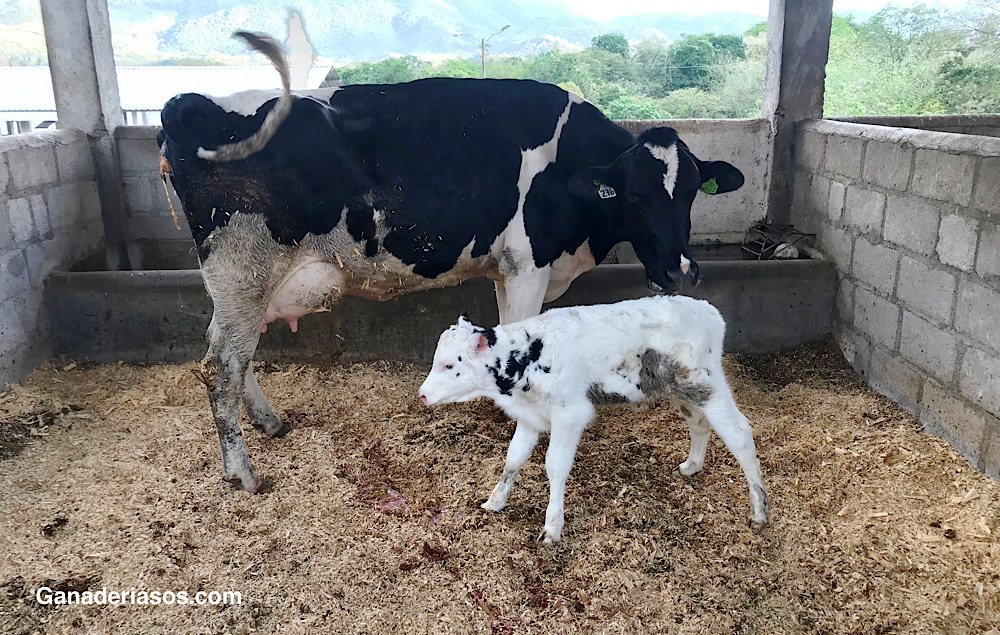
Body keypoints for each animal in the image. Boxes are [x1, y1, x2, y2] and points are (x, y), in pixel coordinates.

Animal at [158, 33, 744, 492]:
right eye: (634, 196)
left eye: (692, 192)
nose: (680, 272)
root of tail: (185, 103)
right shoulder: (529, 263)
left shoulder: (509, 269)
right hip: (242, 268)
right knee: (222, 366)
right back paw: (242, 471)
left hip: (244, 283)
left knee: (231, 354)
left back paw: (268, 421)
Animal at [418, 296, 768, 544]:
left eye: (449, 365)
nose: (422, 395)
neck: (527, 357)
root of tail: (708, 310)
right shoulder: (531, 416)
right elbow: (513, 458)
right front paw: (495, 501)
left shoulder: (569, 414)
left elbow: (554, 465)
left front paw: (552, 527)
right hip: (680, 390)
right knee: (698, 423)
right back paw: (692, 466)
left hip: (705, 383)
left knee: (739, 432)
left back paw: (760, 513)